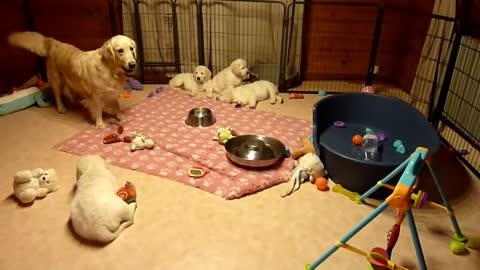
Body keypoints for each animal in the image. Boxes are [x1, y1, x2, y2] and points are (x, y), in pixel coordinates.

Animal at [7, 31, 137, 129]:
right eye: (120, 50)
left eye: (131, 49)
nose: (132, 64)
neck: (111, 70)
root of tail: (55, 43)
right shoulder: (96, 95)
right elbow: (98, 110)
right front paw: (99, 123)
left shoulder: (113, 92)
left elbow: (116, 106)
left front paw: (120, 117)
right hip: (56, 79)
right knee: (57, 94)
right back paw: (61, 108)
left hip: (71, 79)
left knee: (71, 90)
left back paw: (78, 103)